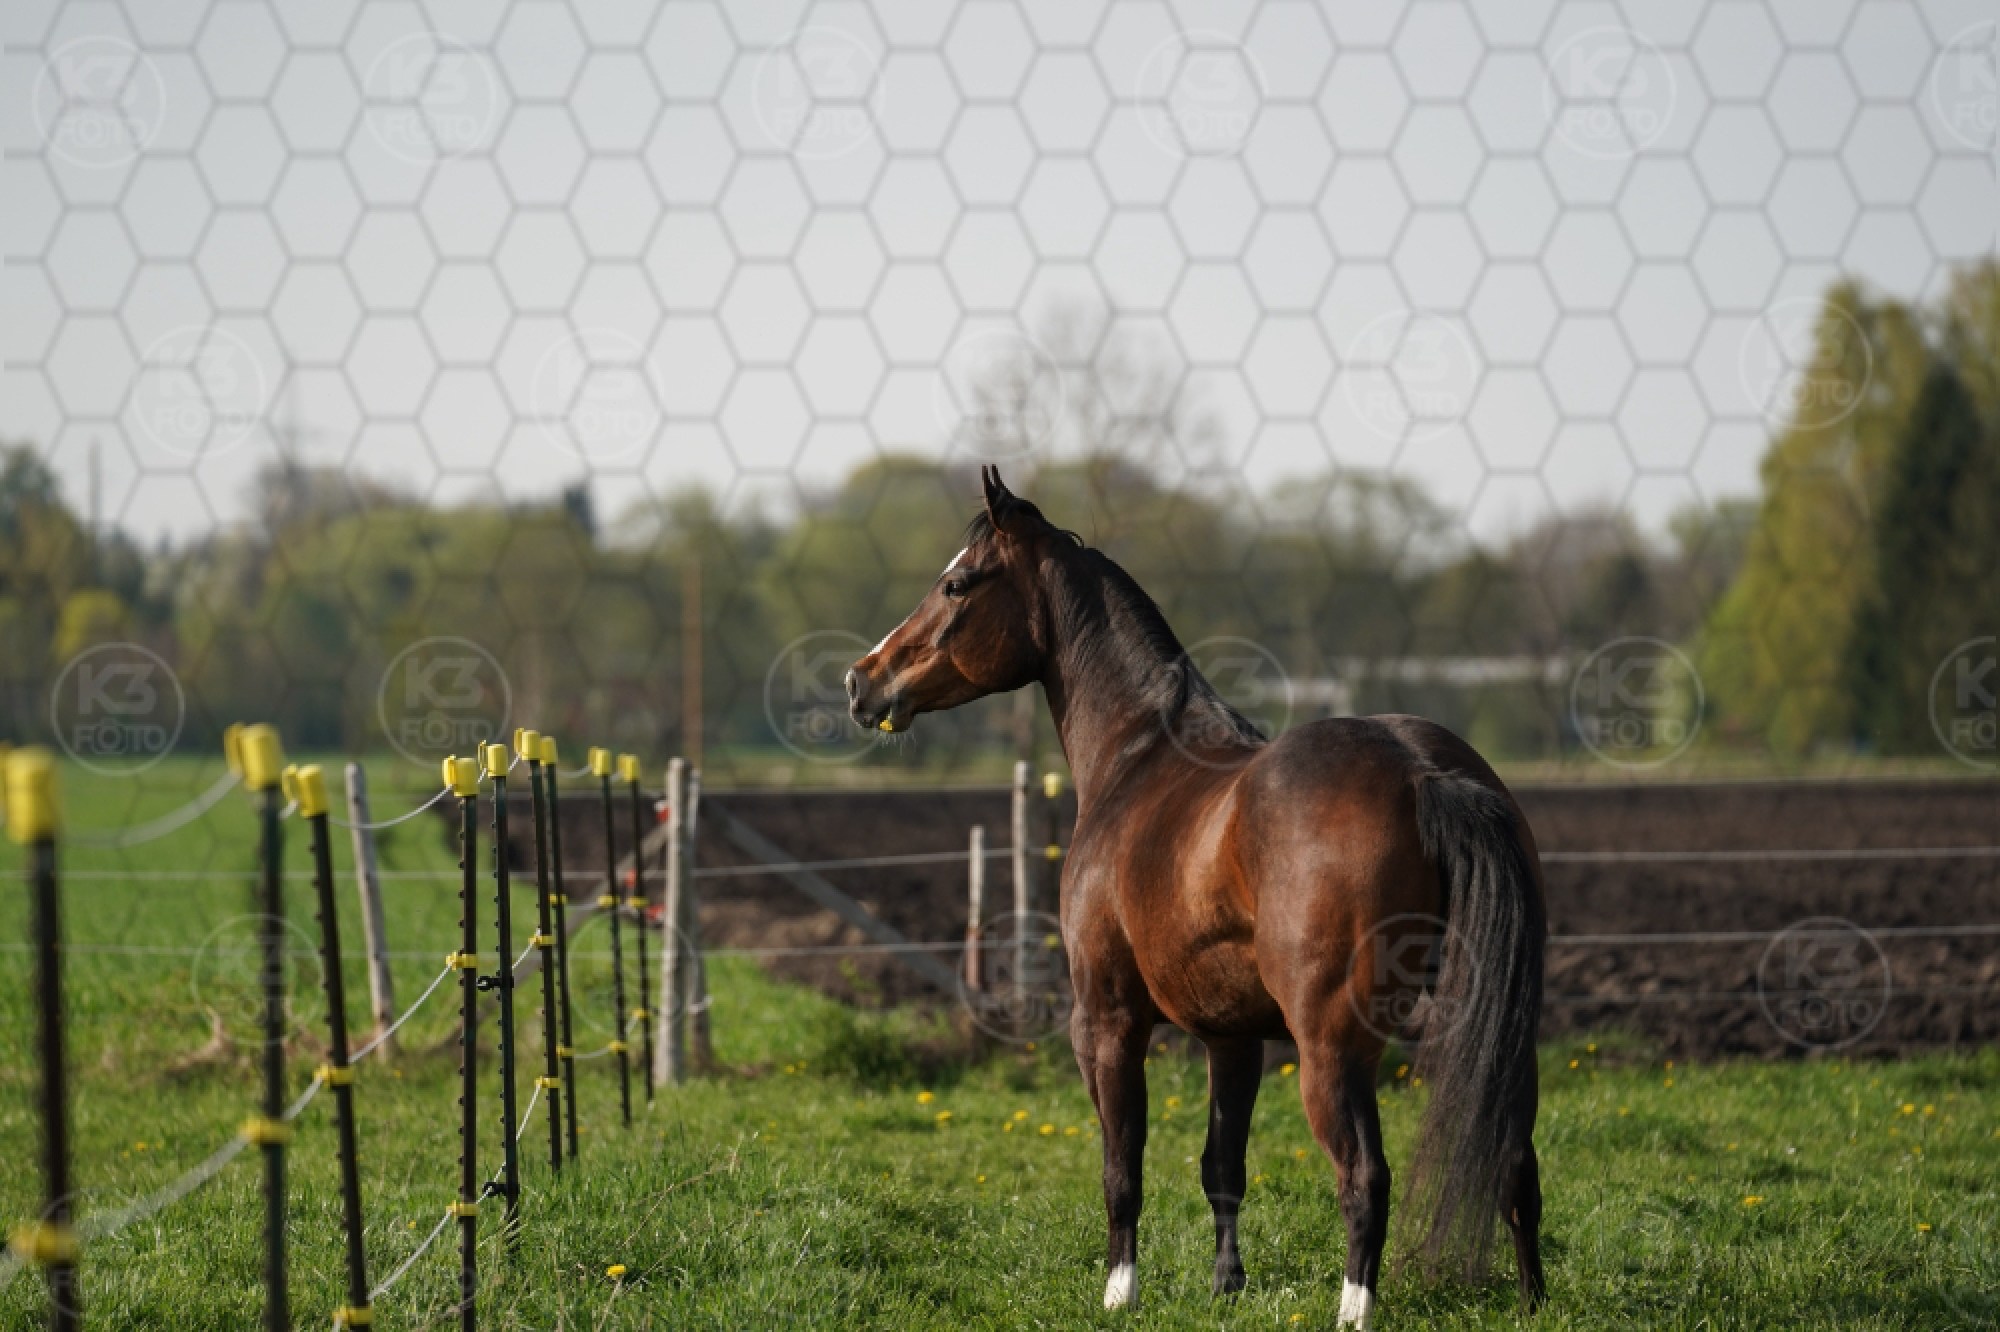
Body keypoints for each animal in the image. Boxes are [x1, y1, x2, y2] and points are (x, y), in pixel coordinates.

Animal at [845, 468, 1548, 1327]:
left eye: (956, 582)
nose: (862, 679)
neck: (1139, 755)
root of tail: (1423, 772)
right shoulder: (1231, 1038)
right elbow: (1223, 1166)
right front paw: (1226, 1286)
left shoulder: (1108, 1022)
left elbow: (1123, 1166)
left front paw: (1119, 1291)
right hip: (1498, 1032)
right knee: (1515, 1165)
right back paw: (1532, 1302)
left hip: (1334, 1051)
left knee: (1364, 1177)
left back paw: (1353, 1309)